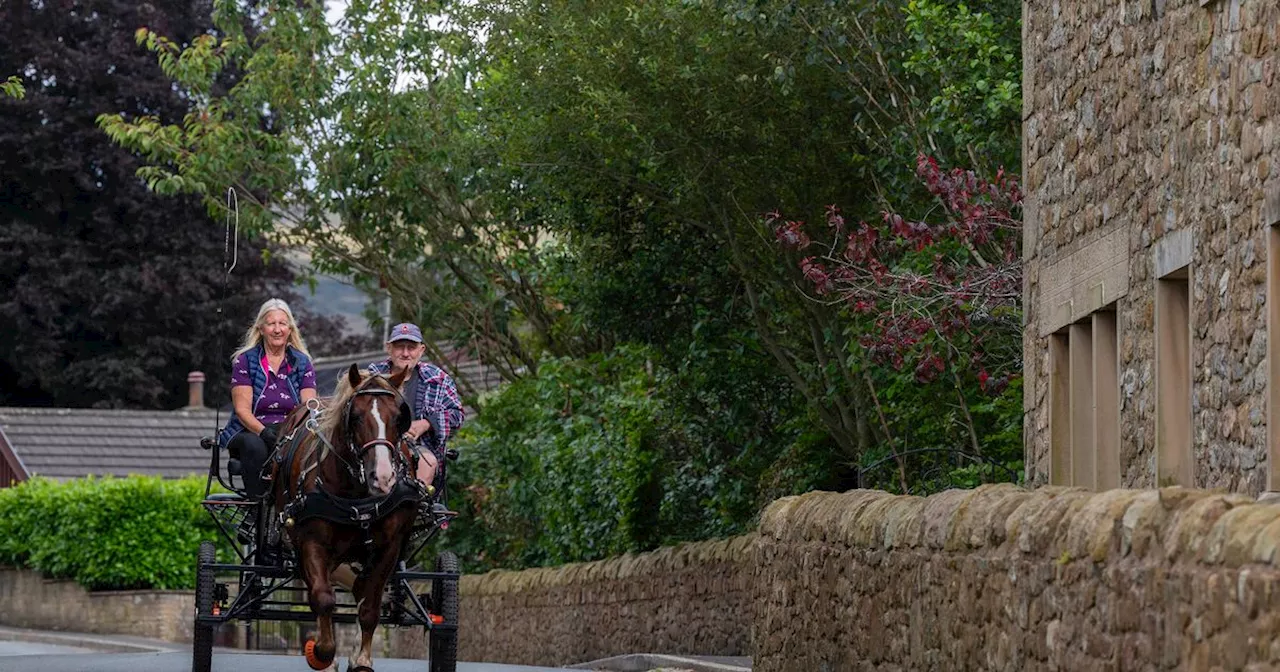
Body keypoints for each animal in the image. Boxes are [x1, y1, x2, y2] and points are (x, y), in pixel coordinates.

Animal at [271, 363, 424, 670]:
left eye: (399, 417)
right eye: (355, 417)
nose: (383, 477)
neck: (358, 496)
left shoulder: (389, 548)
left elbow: (370, 605)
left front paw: (361, 659)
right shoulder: (312, 543)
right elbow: (323, 599)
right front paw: (323, 653)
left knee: (361, 590)